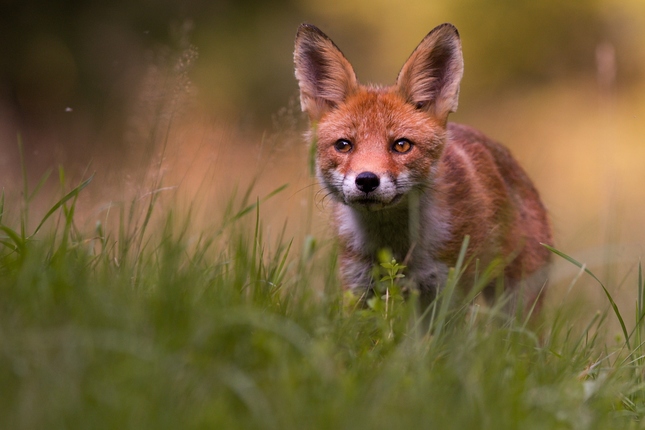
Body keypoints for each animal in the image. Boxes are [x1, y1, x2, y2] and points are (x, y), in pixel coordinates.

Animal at [294, 22, 552, 312]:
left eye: (402, 145)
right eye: (344, 145)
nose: (367, 180)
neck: (394, 245)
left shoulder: (447, 292)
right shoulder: (357, 287)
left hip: (515, 300)